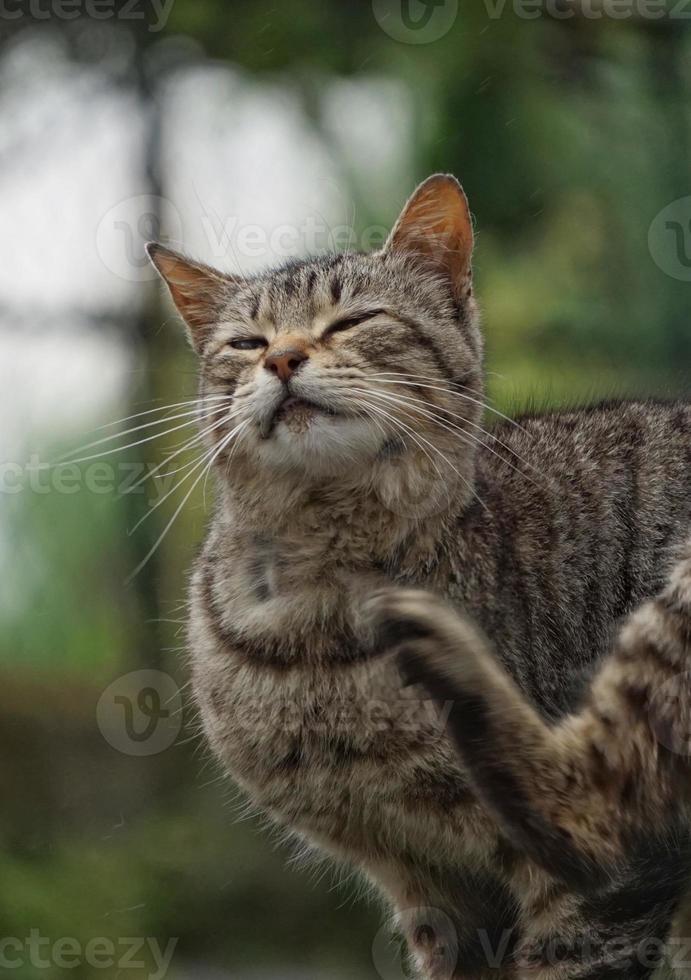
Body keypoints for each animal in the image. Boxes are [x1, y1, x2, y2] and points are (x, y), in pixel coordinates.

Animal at [146, 176, 691, 980]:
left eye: (352, 320)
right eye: (247, 343)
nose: (282, 359)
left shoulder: (600, 900)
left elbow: (574, 941)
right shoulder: (427, 883)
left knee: (598, 818)